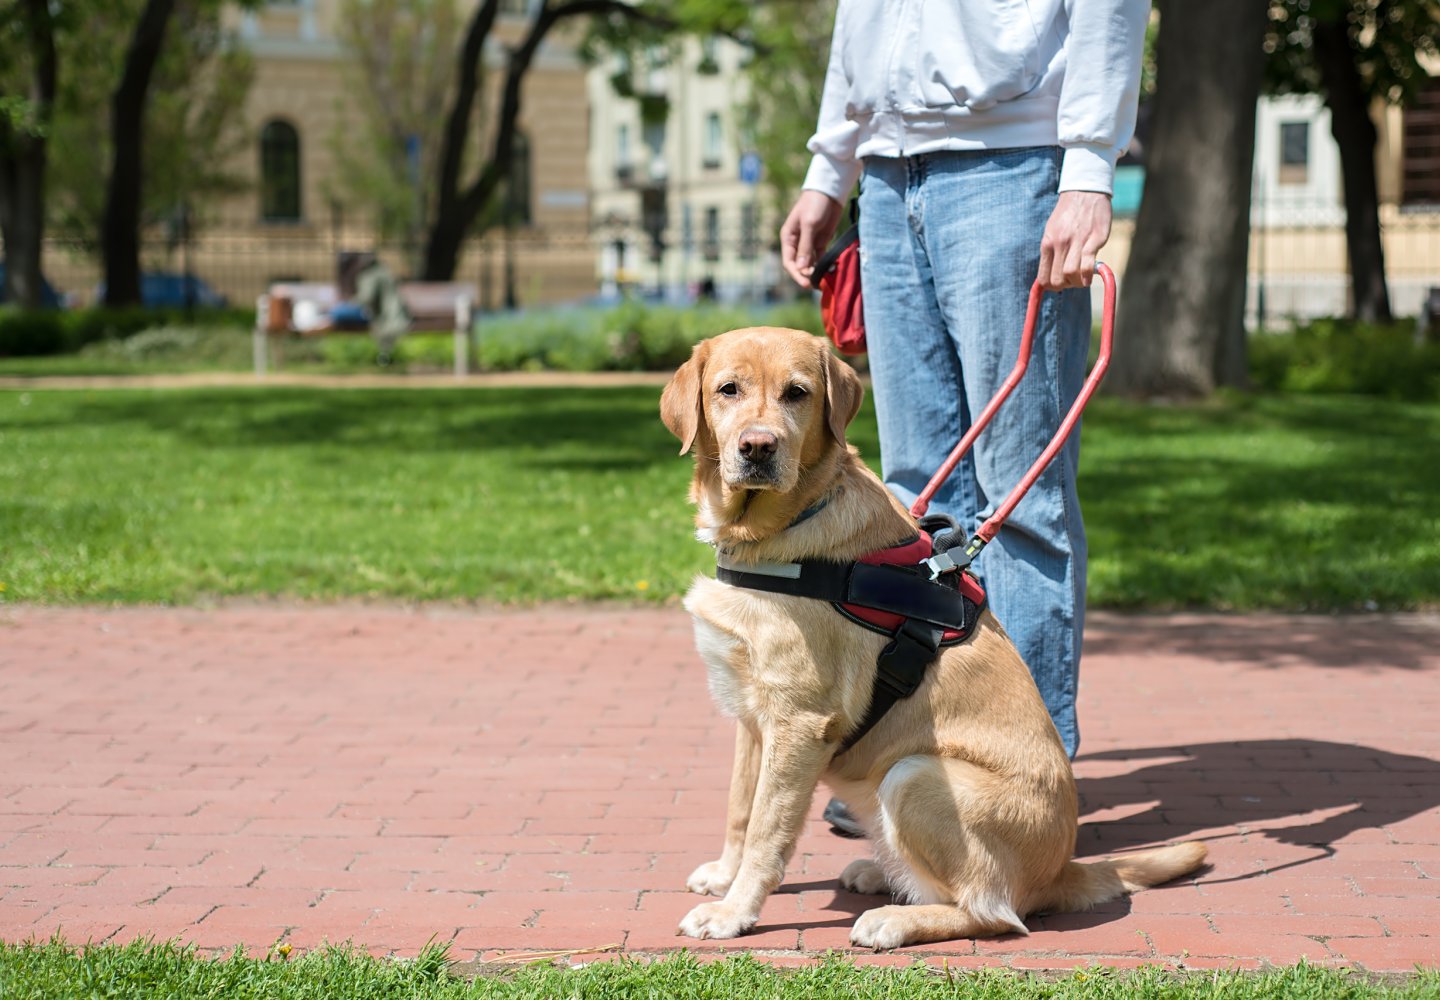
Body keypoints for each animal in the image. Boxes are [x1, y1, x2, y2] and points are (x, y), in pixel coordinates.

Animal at [659, 331, 1203, 956]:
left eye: (797, 393)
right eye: (728, 389)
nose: (758, 447)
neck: (776, 532)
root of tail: (1059, 870)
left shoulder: (799, 723)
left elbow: (767, 833)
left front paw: (734, 913)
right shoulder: (753, 716)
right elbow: (739, 810)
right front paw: (723, 878)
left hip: (914, 774)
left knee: (995, 913)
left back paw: (894, 919)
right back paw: (880, 874)